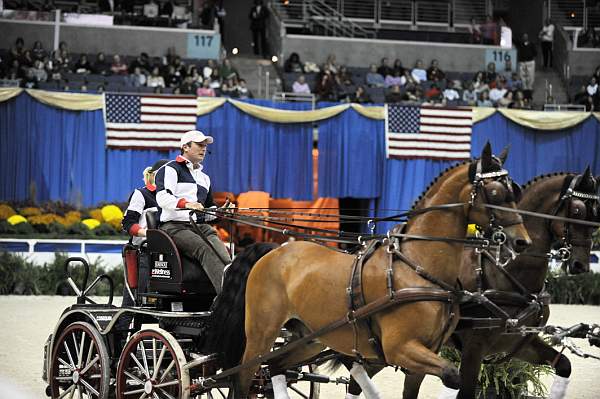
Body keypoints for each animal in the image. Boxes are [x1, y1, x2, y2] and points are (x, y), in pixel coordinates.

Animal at [205, 143, 528, 396]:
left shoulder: (424, 356)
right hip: (261, 333)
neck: (418, 269)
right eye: (496, 193)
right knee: (242, 378)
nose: (521, 241)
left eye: (514, 191)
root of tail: (275, 250)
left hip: (309, 337)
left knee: (275, 367)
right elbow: (454, 376)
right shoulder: (401, 348)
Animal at [398, 169, 600, 399]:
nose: (581, 264)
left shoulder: (521, 342)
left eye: (596, 213)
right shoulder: (474, 349)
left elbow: (564, 364)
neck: (505, 272)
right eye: (577, 210)